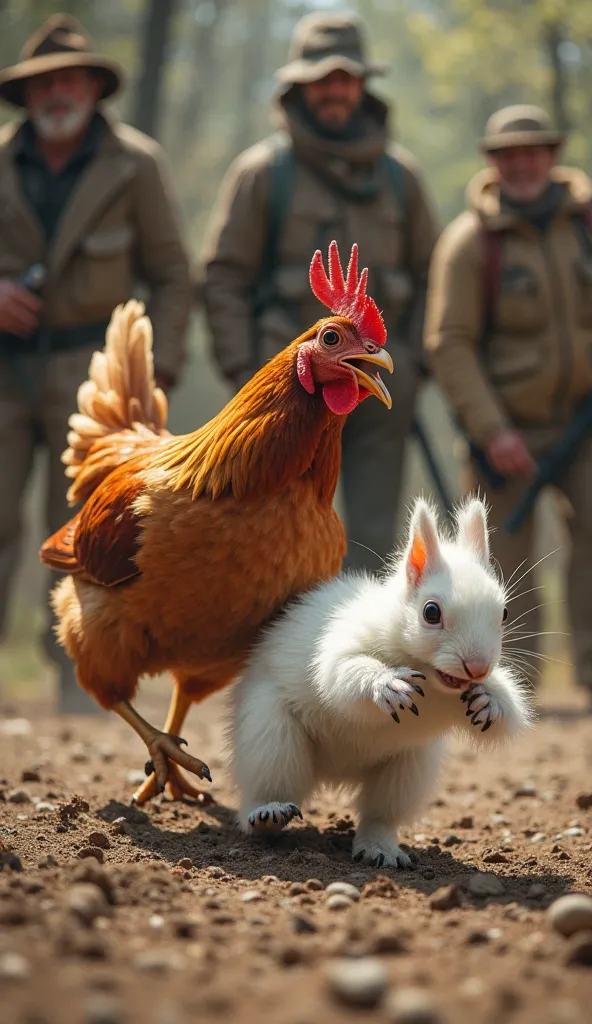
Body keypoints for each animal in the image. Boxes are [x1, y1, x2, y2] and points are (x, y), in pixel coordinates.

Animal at [228, 499, 532, 868]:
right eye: (431, 612)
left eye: (503, 613)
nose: (477, 668)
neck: (428, 674)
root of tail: (336, 771)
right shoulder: (345, 638)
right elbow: (341, 671)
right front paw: (388, 685)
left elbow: (511, 710)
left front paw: (490, 701)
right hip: (270, 736)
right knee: (265, 791)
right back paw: (267, 814)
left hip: (408, 767)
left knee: (379, 815)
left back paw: (379, 847)